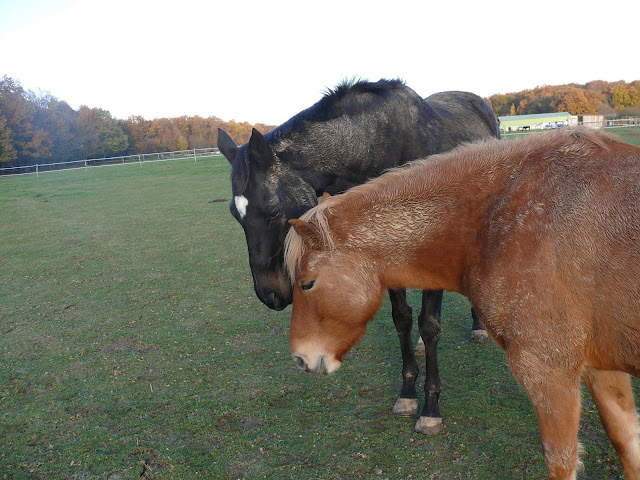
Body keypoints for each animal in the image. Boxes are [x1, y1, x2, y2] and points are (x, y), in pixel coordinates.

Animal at [218, 79, 500, 434]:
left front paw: (431, 408)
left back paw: (478, 326)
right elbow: (402, 319)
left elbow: (430, 324)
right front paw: (407, 393)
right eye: (234, 214)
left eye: (272, 211)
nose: (270, 294)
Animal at [285, 129, 640, 480]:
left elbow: (561, 460)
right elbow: (627, 445)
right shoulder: (601, 368)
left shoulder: (548, 371)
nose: (300, 359)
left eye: (307, 283)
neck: (495, 219)